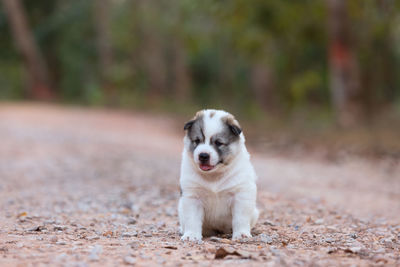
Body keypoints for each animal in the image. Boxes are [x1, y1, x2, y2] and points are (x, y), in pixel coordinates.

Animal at [178, 109, 260, 243]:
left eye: (218, 143)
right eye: (197, 141)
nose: (203, 155)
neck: (214, 175)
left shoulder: (240, 195)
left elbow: (240, 218)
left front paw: (241, 234)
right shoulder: (193, 197)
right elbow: (192, 219)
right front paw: (191, 235)